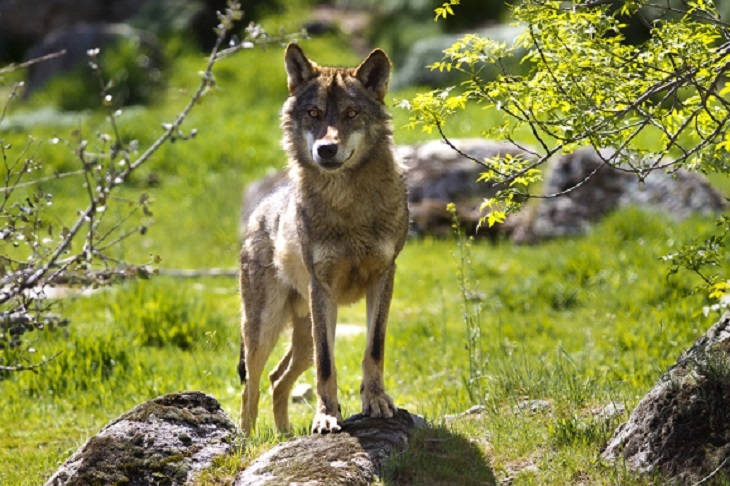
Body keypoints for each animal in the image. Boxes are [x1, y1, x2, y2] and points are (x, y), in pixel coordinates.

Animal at [238, 43, 409, 435]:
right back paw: (246, 440)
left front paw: (376, 401)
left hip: (303, 337)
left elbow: (373, 349)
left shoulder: (384, 277)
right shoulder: (323, 288)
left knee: (278, 377)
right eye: (314, 113)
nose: (326, 149)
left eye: (351, 113)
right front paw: (327, 416)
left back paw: (283, 434)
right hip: (266, 328)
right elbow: (328, 365)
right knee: (252, 385)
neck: (347, 207)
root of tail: (260, 207)